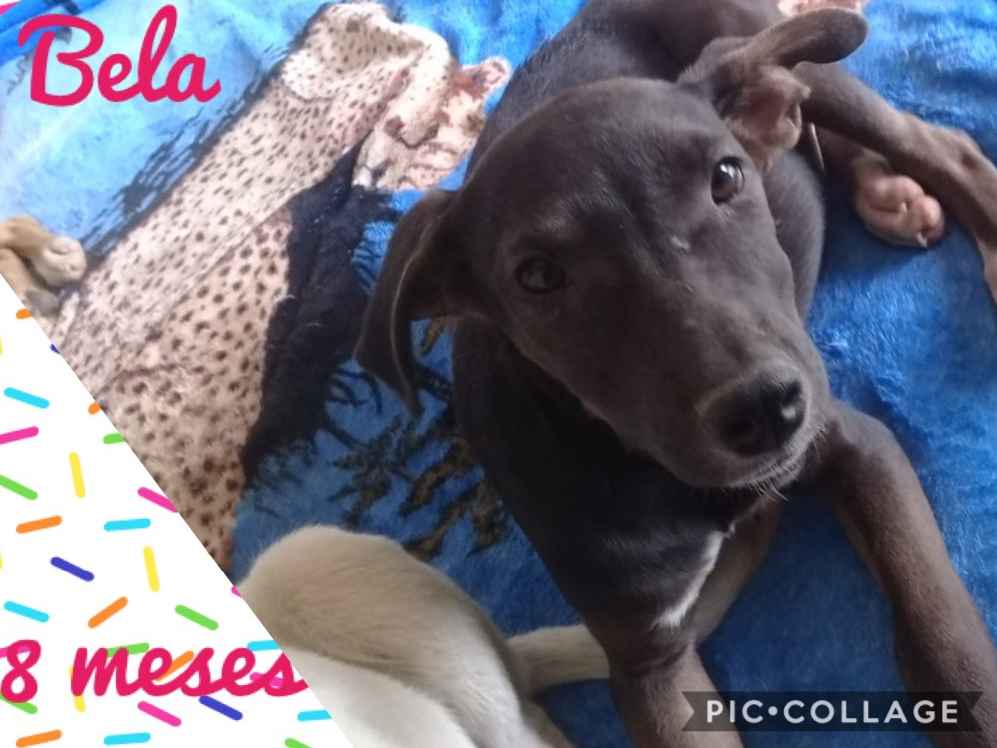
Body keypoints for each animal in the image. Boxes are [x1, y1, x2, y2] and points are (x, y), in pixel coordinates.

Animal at [355, 2, 997, 746]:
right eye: (537, 276)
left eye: (726, 178)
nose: (764, 411)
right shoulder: (647, 656)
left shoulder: (858, 443)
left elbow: (941, 641)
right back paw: (883, 192)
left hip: (775, 52)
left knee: (935, 142)